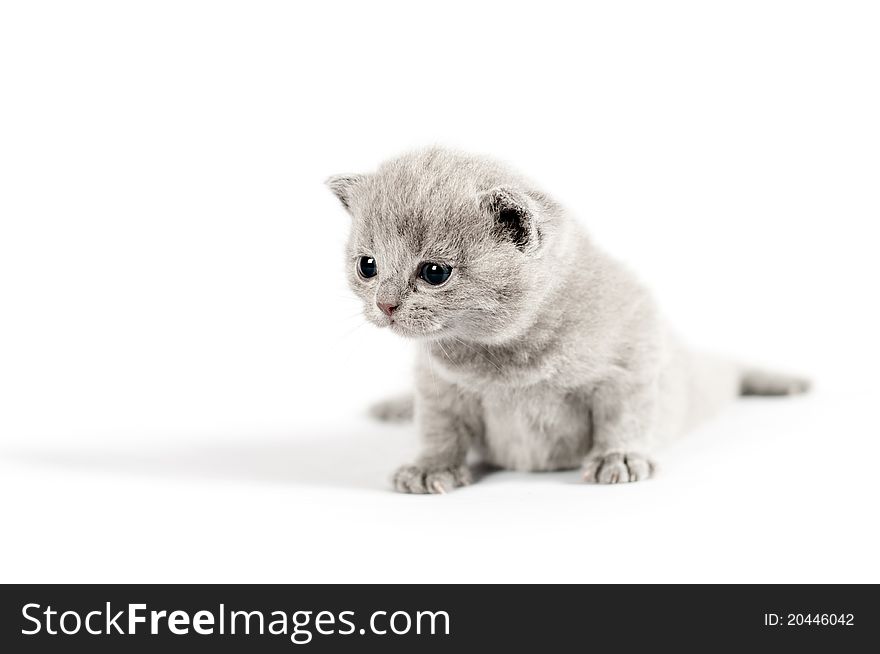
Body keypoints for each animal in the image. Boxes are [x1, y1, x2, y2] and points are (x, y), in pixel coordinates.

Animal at [326, 149, 808, 494]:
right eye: (367, 266)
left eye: (433, 273)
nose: (385, 304)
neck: (502, 358)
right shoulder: (438, 388)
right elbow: (438, 429)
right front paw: (429, 468)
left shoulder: (632, 362)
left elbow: (625, 415)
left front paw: (619, 458)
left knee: (733, 370)